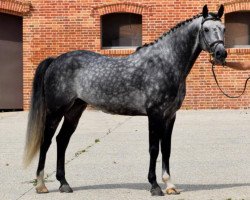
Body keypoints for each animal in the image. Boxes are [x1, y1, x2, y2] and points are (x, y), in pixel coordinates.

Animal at [23, 5, 227, 197]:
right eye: (206, 29)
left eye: (223, 28)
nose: (221, 54)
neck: (166, 62)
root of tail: (55, 60)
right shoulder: (155, 115)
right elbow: (154, 149)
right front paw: (154, 186)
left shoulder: (170, 116)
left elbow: (166, 149)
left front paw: (170, 185)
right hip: (55, 111)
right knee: (46, 141)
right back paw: (41, 185)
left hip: (74, 111)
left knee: (62, 140)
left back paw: (64, 184)